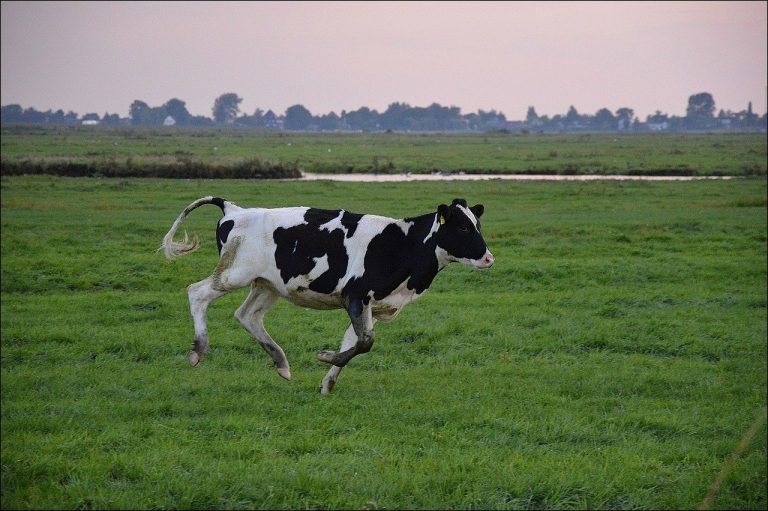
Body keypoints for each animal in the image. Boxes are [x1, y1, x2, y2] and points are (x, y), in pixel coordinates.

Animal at [161, 196, 494, 394]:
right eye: (463, 228)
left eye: (477, 225)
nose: (489, 258)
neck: (403, 243)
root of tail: (235, 210)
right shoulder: (355, 295)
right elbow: (365, 342)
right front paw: (324, 356)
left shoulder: (370, 304)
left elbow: (355, 342)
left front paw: (328, 383)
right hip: (235, 273)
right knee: (197, 293)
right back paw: (198, 350)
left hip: (268, 284)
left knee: (247, 316)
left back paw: (281, 363)